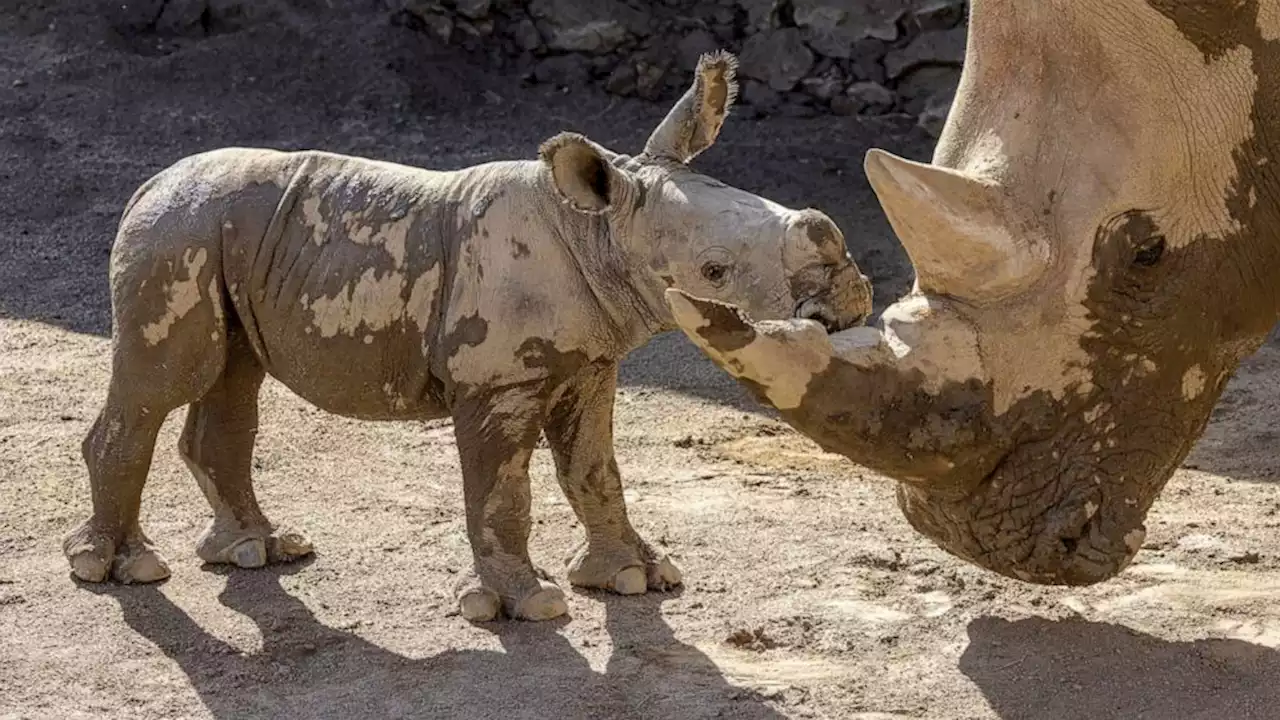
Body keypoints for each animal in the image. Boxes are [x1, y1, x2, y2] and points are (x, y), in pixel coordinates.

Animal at [64, 53, 875, 620]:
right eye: (714, 270)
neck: (600, 228)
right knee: (163, 382)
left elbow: (595, 469)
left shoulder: (591, 362)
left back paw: (257, 551)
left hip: (223, 235)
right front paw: (528, 605)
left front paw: (635, 578)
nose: (848, 292)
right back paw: (119, 570)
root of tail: (148, 184)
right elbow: (502, 489)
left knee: (232, 377)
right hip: (176, 235)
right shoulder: (496, 381)